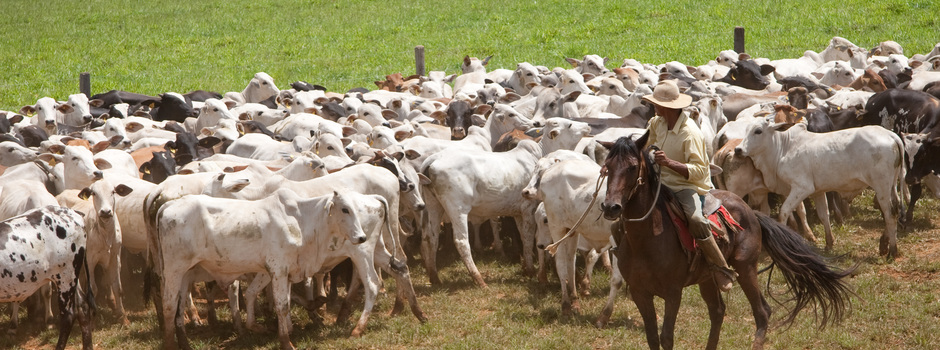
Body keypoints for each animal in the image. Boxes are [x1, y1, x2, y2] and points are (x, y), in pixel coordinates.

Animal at [600, 133, 856, 348]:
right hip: (707, 277)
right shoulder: (639, 292)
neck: (647, 238)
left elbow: (666, 337)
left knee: (762, 311)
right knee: (718, 311)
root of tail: (751, 212)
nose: (611, 207)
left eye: (633, 167)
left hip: (746, 268)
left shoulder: (673, 292)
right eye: (607, 167)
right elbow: (653, 337)